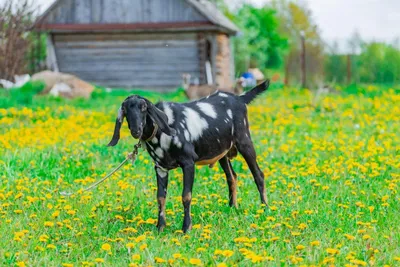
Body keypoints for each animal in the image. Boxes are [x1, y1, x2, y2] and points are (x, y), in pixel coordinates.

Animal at [108, 80, 270, 233]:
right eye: (125, 110)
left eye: (143, 107)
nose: (136, 130)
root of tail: (240, 98)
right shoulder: (160, 168)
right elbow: (160, 197)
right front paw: (160, 227)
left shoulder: (188, 163)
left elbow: (186, 196)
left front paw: (186, 227)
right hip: (222, 152)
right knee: (232, 177)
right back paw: (232, 207)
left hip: (244, 141)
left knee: (258, 175)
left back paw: (265, 208)